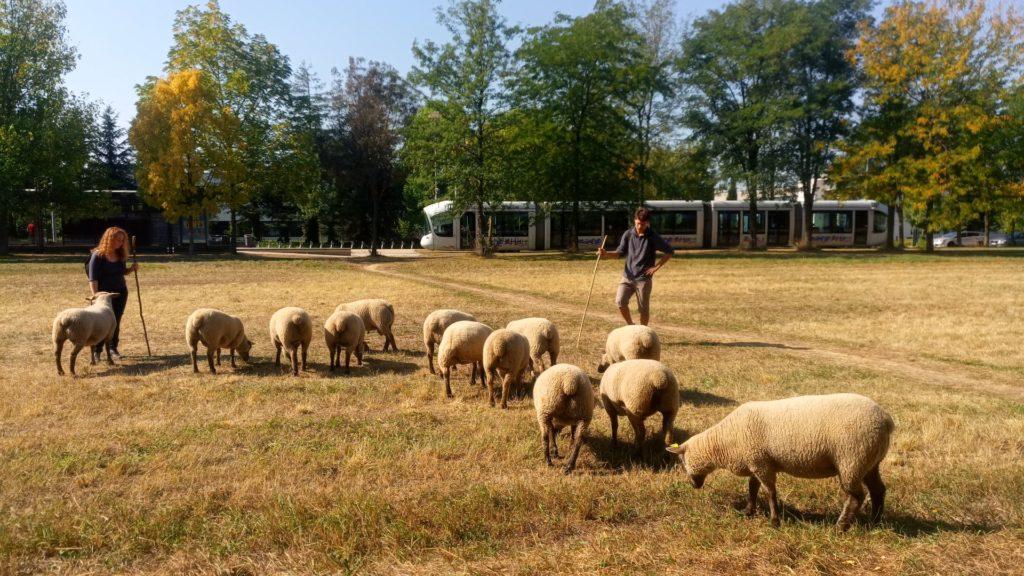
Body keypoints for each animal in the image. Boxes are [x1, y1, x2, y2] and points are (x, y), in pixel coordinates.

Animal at [663, 389, 897, 528]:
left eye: (682, 462)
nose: (694, 486)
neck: (725, 441)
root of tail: (886, 420)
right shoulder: (757, 462)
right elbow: (752, 488)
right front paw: (748, 511)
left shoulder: (761, 464)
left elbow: (769, 492)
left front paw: (774, 521)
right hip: (869, 462)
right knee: (878, 490)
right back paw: (876, 522)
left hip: (851, 460)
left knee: (856, 496)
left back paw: (841, 526)